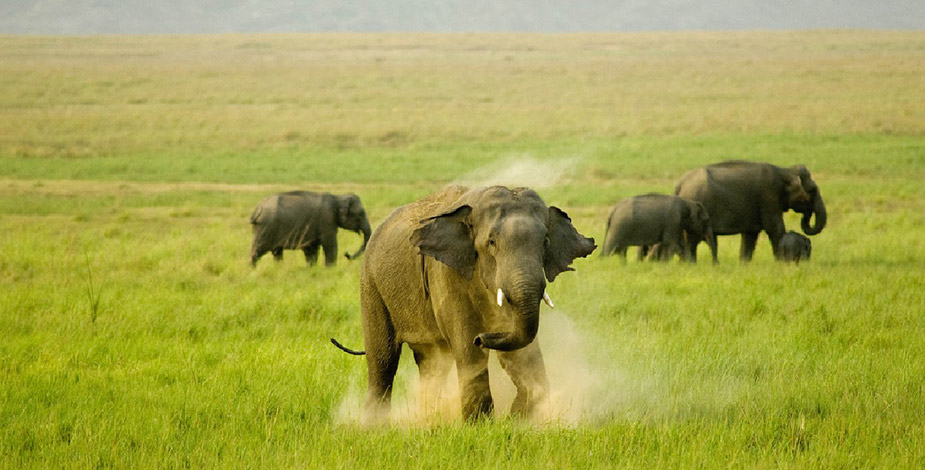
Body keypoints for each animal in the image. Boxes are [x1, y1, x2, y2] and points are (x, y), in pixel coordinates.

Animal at [328, 185, 596, 422]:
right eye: (491, 243)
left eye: (545, 243)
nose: (482, 338)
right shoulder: (444, 272)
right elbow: (467, 347)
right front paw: (480, 425)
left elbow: (522, 350)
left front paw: (521, 420)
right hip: (370, 284)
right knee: (383, 360)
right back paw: (375, 426)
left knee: (431, 364)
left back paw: (427, 420)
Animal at [676, 161, 828, 264]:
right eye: (812, 190)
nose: (806, 215)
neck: (783, 171)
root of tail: (680, 184)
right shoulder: (769, 197)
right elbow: (775, 229)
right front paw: (780, 263)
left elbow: (750, 235)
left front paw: (744, 265)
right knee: (691, 241)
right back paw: (690, 264)